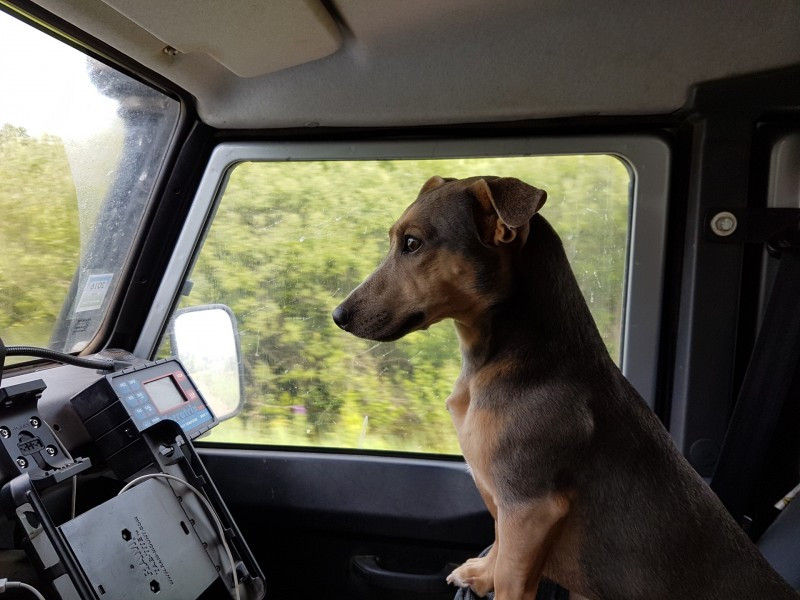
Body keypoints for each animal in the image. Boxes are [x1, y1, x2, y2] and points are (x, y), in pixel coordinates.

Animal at [332, 175, 798, 599]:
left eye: (412, 244)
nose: (338, 315)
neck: (500, 359)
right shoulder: (504, 500)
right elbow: (498, 538)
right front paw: (483, 572)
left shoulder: (530, 507)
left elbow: (513, 577)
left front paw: (493, 580)